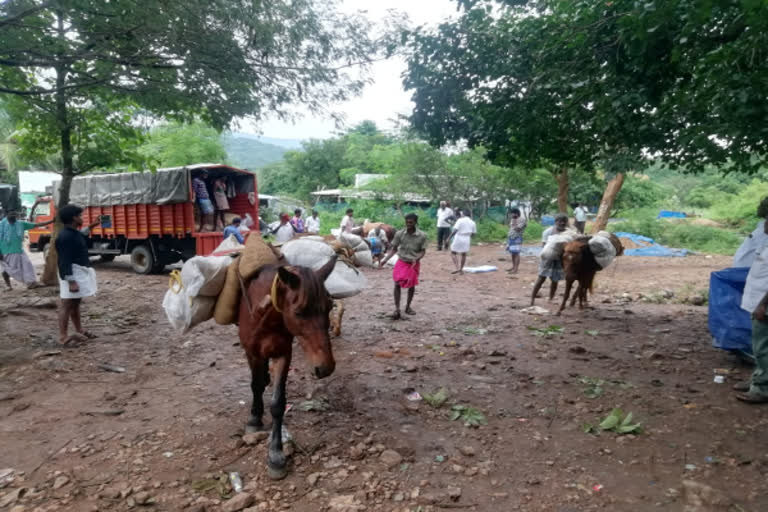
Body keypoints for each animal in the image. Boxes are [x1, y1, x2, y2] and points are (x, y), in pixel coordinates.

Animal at [240, 258, 336, 478]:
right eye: (299, 312)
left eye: (329, 307)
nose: (326, 367)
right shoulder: (253, 352)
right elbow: (255, 386)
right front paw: (254, 419)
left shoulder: (283, 354)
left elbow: (278, 404)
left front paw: (276, 454)